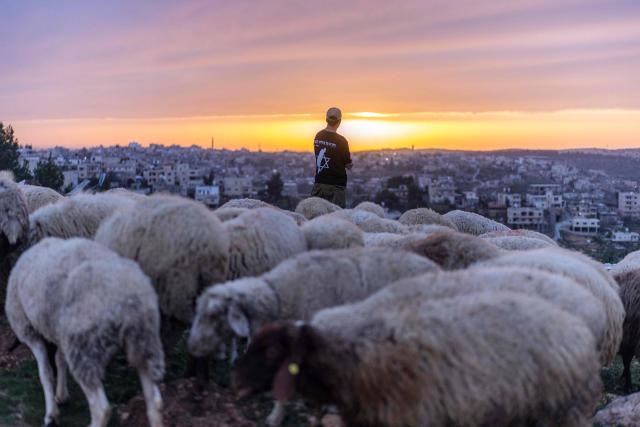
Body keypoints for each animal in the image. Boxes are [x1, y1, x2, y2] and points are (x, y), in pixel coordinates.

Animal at [5, 238, 164, 427]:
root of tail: (126, 300)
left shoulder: (30, 331)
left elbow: (45, 373)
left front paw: (51, 414)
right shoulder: (60, 332)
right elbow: (59, 360)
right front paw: (61, 394)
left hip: (85, 347)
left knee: (102, 409)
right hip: (144, 340)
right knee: (155, 400)